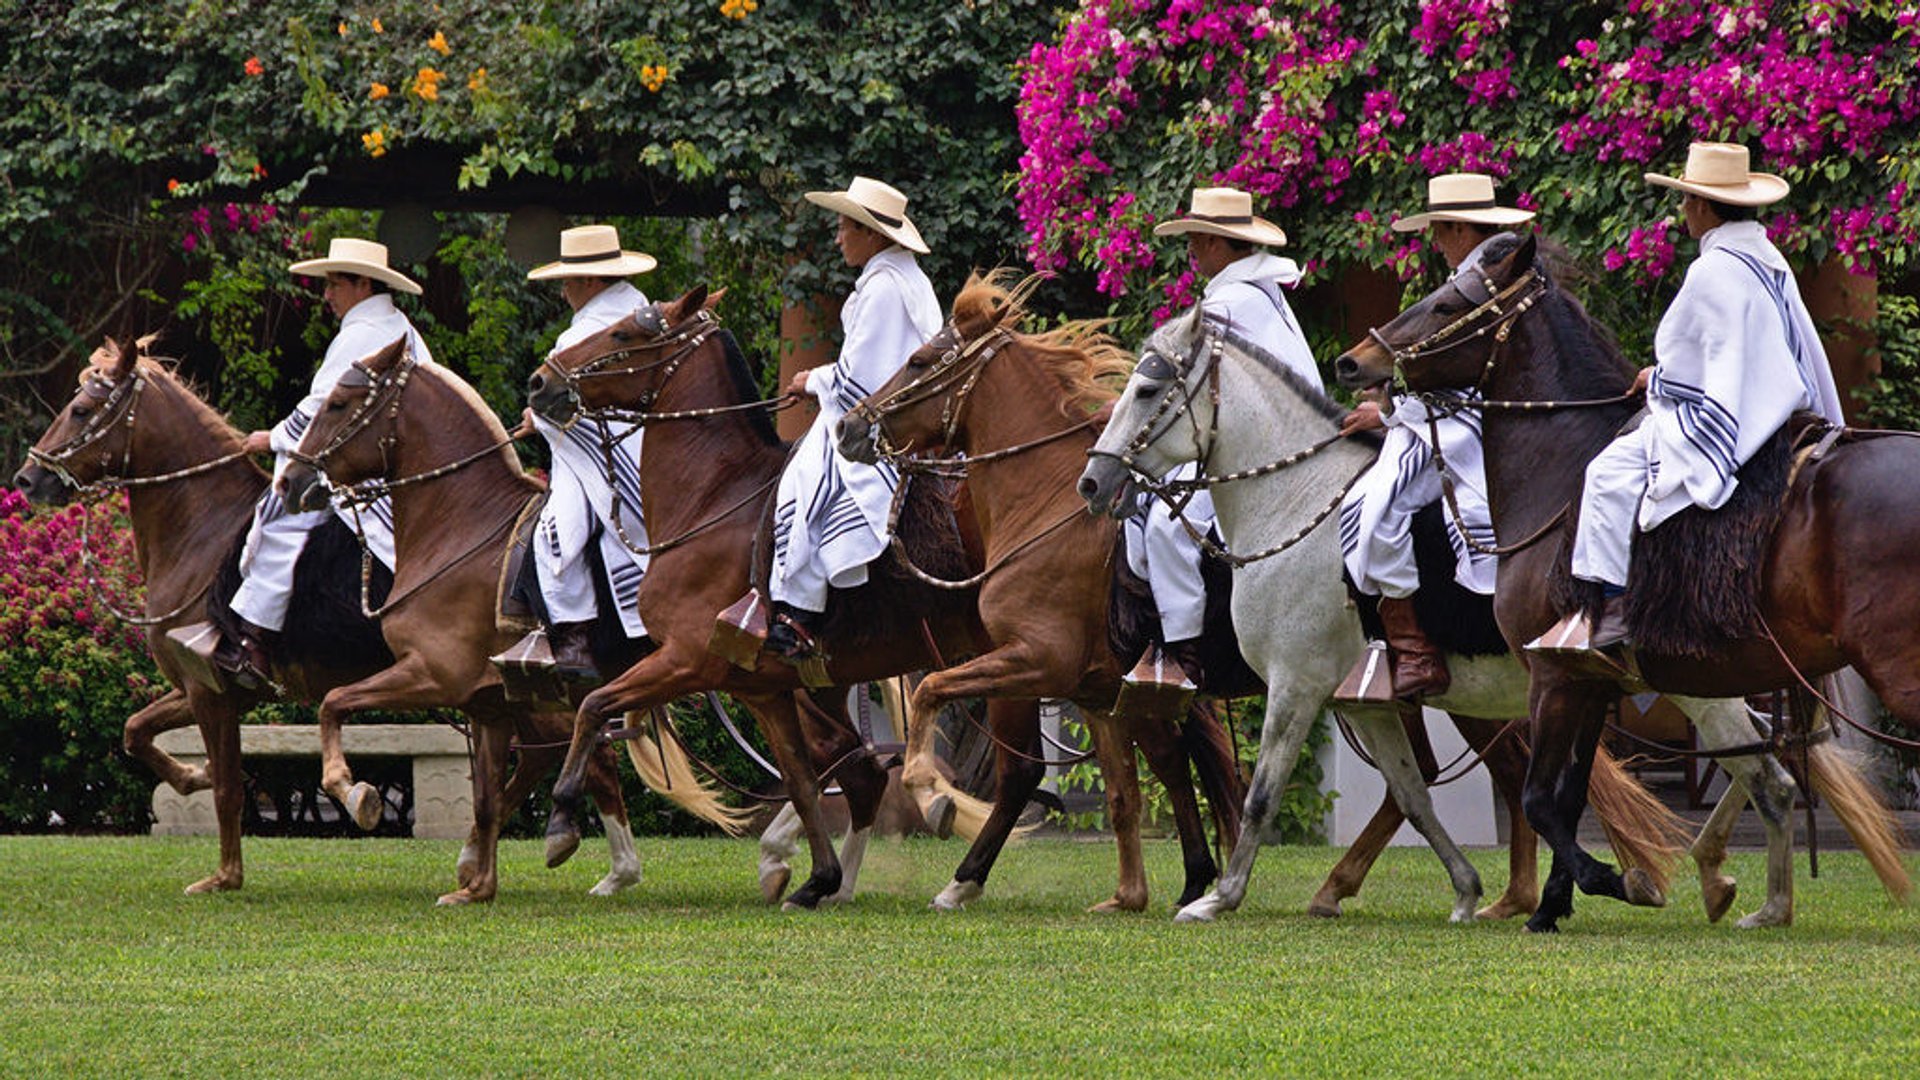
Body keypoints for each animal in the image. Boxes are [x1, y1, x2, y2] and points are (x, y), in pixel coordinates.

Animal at [11, 338, 687, 899]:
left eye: (80, 409)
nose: (28, 476)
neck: (202, 528)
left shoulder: (212, 691)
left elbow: (230, 783)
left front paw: (226, 871)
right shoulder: (211, 688)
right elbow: (137, 732)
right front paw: (189, 778)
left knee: (576, 749)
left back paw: (592, 859)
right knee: (553, 753)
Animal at [837, 272, 1244, 910]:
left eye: (919, 359)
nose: (851, 425)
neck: (1047, 507)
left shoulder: (1032, 660)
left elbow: (933, 693)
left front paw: (932, 796)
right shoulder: (1096, 693)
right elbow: (1123, 793)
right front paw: (1129, 895)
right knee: (1173, 762)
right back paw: (1194, 880)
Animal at [1344, 233, 1912, 926]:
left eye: (1449, 301)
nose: (1353, 361)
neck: (1560, 469)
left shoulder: (1551, 675)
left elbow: (1540, 798)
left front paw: (1620, 880)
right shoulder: (1587, 680)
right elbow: (1564, 798)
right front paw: (1551, 908)